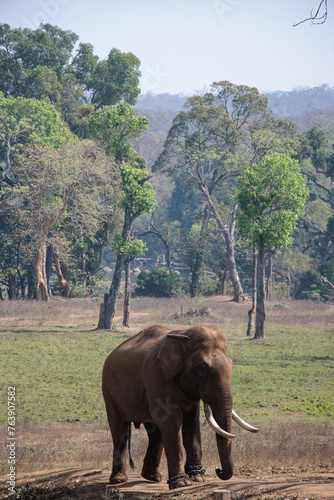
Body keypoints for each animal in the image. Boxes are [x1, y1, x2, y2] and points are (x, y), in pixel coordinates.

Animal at [102, 322, 258, 490]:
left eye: (231, 364)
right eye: (202, 368)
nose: (218, 469)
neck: (182, 335)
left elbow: (192, 424)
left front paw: (197, 478)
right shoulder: (157, 376)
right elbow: (171, 423)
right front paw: (181, 483)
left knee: (155, 431)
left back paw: (152, 477)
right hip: (108, 389)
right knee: (120, 429)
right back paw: (119, 480)